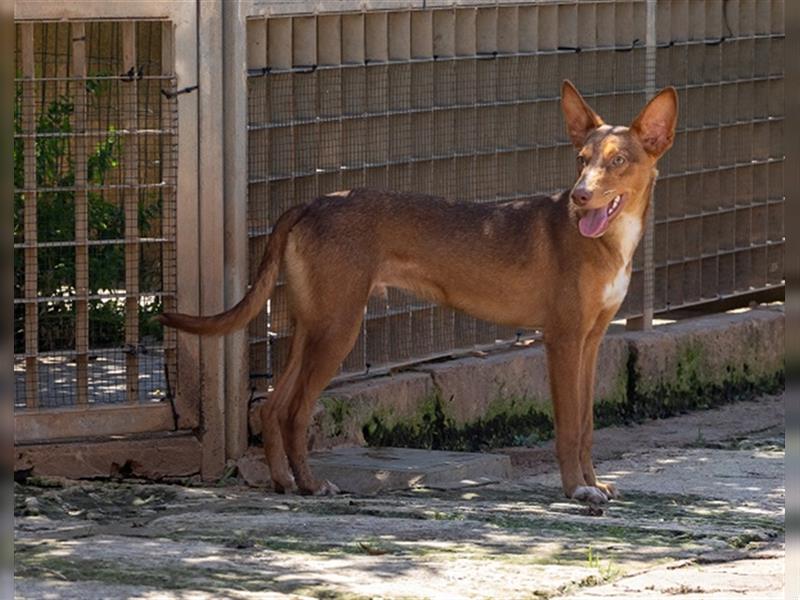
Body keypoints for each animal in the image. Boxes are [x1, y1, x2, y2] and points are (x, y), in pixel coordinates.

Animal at [161, 77, 676, 504]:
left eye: (618, 161)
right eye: (581, 161)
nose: (580, 196)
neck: (606, 242)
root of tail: (315, 201)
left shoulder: (591, 341)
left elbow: (586, 426)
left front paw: (594, 484)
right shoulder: (562, 340)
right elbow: (569, 428)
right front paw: (575, 490)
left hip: (314, 326)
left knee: (271, 407)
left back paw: (284, 482)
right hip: (338, 330)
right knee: (295, 413)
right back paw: (310, 484)